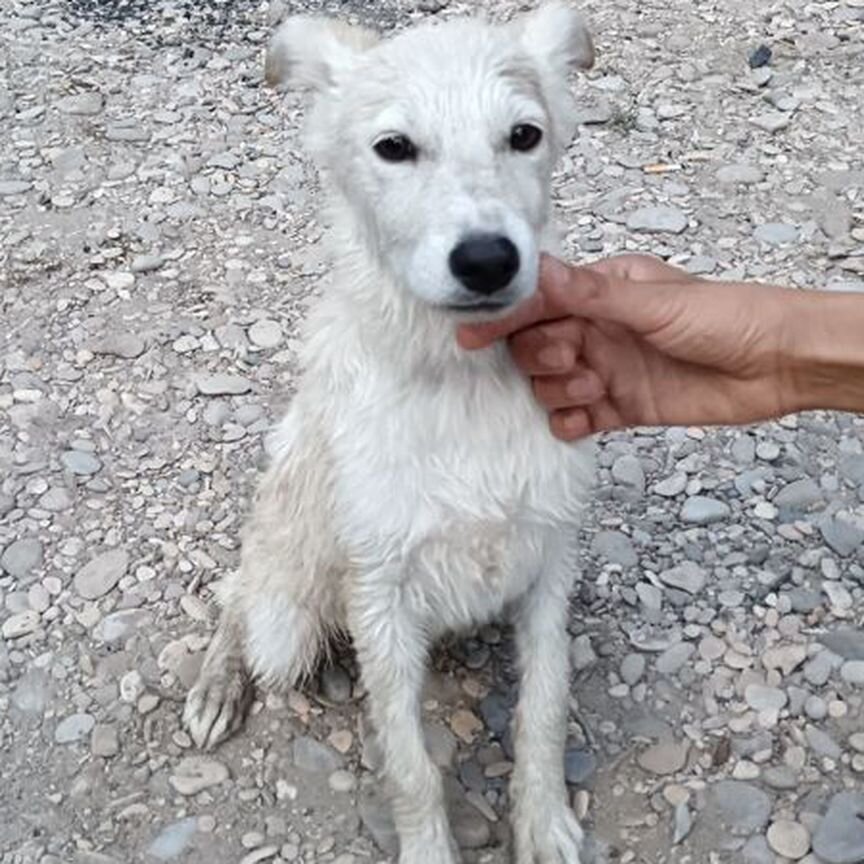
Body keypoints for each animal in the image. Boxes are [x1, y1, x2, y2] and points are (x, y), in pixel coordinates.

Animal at [186, 3, 596, 860]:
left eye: (524, 135)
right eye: (394, 148)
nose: (487, 259)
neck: (459, 381)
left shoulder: (549, 560)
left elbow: (544, 710)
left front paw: (543, 824)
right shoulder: (378, 594)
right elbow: (409, 765)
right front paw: (430, 846)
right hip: (285, 610)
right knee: (240, 598)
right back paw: (217, 685)